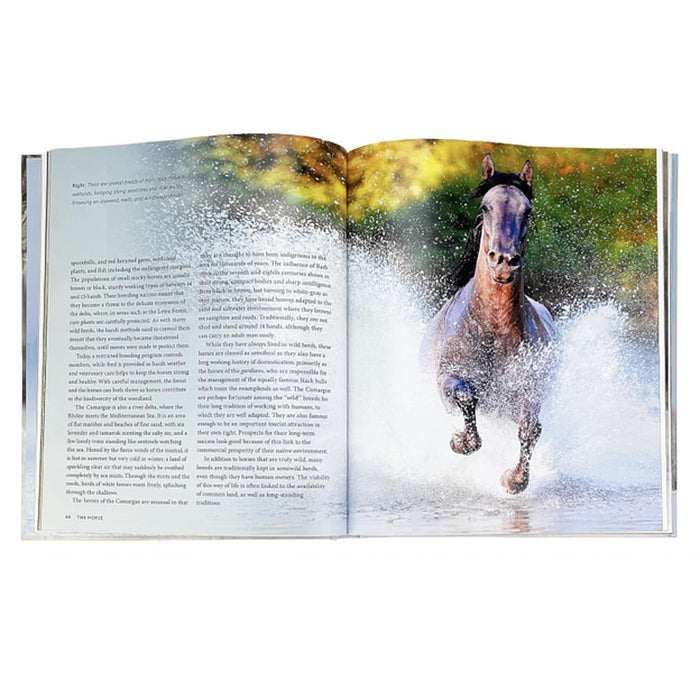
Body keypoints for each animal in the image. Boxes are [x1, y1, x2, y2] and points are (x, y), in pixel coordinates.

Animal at [420, 154, 557, 494]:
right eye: (485, 206)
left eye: (527, 209)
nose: (504, 261)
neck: (492, 330)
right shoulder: (446, 377)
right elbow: (467, 396)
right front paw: (460, 442)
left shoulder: (527, 390)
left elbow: (530, 428)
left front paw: (514, 480)